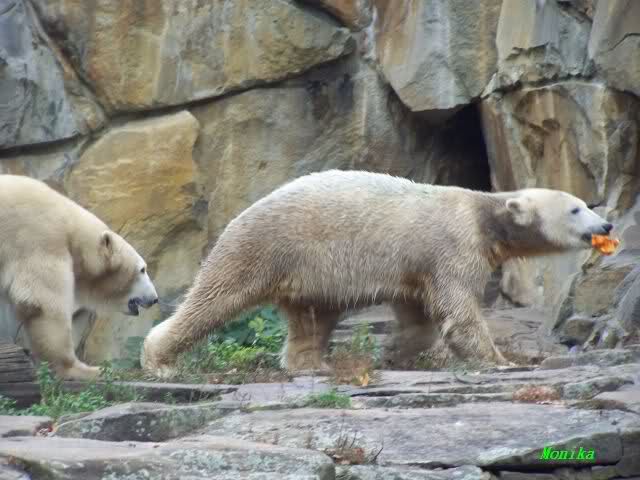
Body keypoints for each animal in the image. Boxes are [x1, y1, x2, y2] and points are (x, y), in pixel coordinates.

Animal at [141, 169, 613, 377]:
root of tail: (242, 213)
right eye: (576, 208)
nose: (607, 226)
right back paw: (159, 361)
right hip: (267, 245)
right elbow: (457, 308)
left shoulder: (416, 262)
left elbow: (418, 311)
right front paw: (499, 360)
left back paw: (312, 365)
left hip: (309, 271)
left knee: (312, 316)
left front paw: (395, 353)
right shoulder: (454, 244)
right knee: (217, 296)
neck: (484, 215)